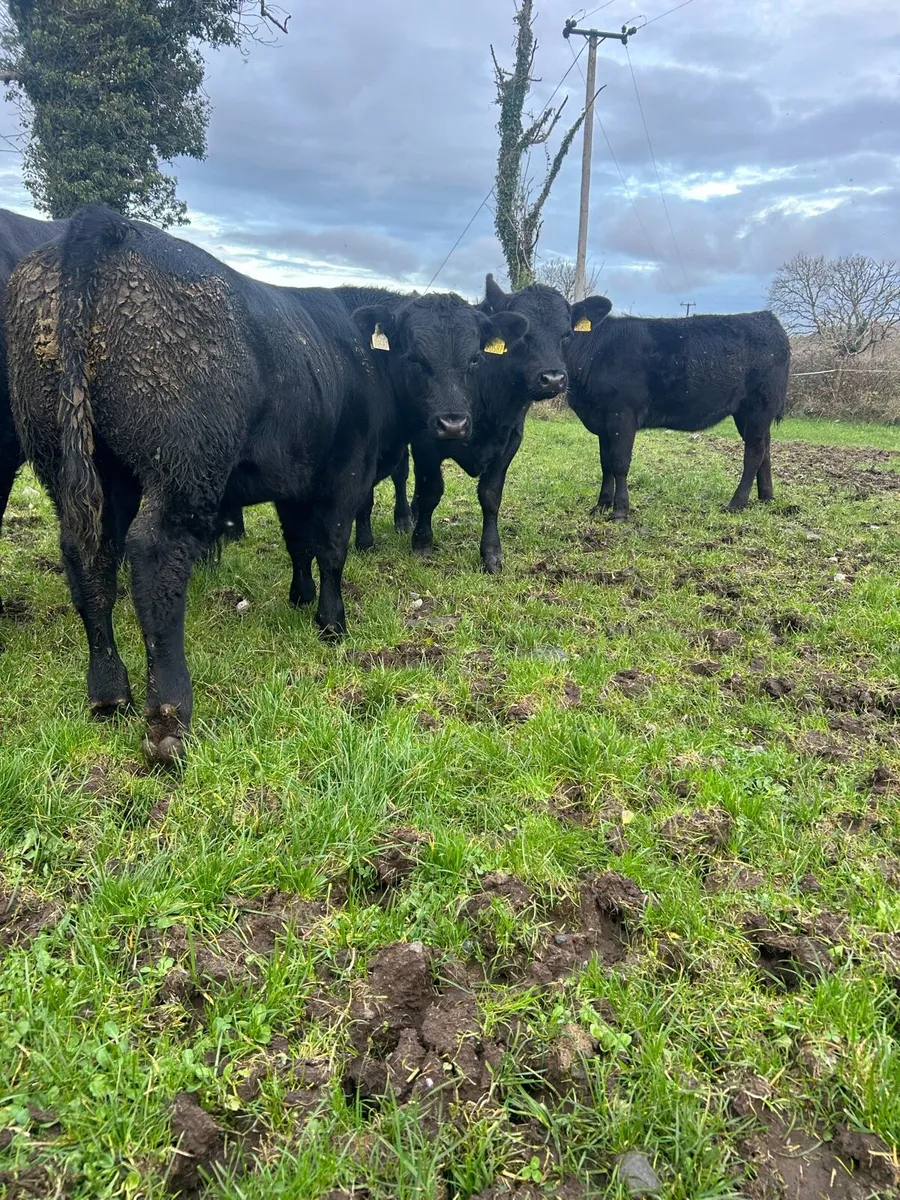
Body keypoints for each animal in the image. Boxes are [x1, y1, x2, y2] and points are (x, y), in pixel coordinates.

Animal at [8, 205, 525, 767]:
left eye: (473, 359)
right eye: (415, 357)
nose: (453, 423)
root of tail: (106, 226)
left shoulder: (292, 478)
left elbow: (299, 543)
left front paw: (300, 597)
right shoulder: (346, 472)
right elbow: (332, 547)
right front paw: (331, 622)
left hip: (79, 469)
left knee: (89, 557)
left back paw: (107, 692)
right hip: (183, 468)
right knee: (154, 558)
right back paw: (169, 715)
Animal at [355, 274, 612, 572]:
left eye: (567, 335)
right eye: (524, 336)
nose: (554, 379)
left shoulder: (510, 441)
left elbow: (490, 496)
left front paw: (491, 553)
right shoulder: (426, 440)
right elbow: (431, 491)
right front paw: (422, 543)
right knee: (400, 474)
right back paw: (403, 519)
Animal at [564, 310, 791, 518]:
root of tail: (765, 317)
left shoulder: (622, 414)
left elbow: (619, 462)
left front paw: (619, 510)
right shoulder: (602, 421)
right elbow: (605, 464)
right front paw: (601, 506)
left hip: (757, 406)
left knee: (754, 452)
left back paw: (736, 503)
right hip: (748, 413)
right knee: (765, 447)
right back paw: (766, 497)